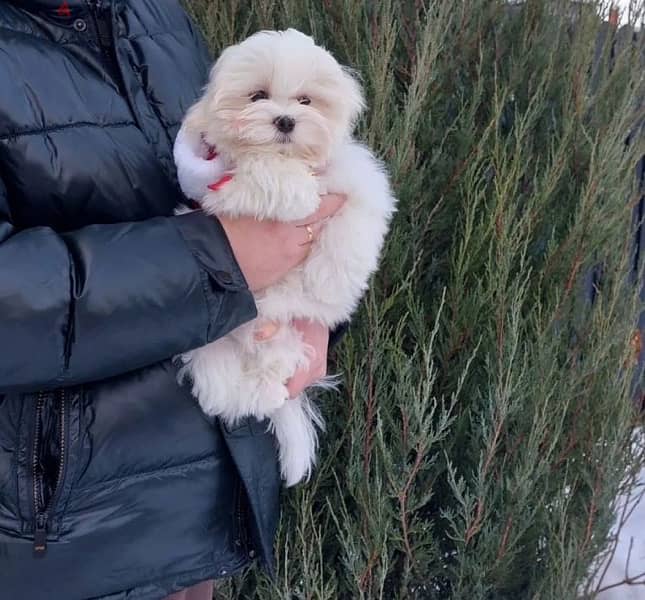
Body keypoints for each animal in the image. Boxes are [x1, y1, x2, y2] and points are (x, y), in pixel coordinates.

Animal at [174, 29, 392, 488]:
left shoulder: (358, 178)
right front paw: (295, 190)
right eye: (258, 96)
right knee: (223, 382)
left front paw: (332, 279)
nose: (286, 121)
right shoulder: (221, 187)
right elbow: (264, 175)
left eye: (306, 101)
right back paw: (254, 388)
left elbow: (357, 221)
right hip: (219, 339)